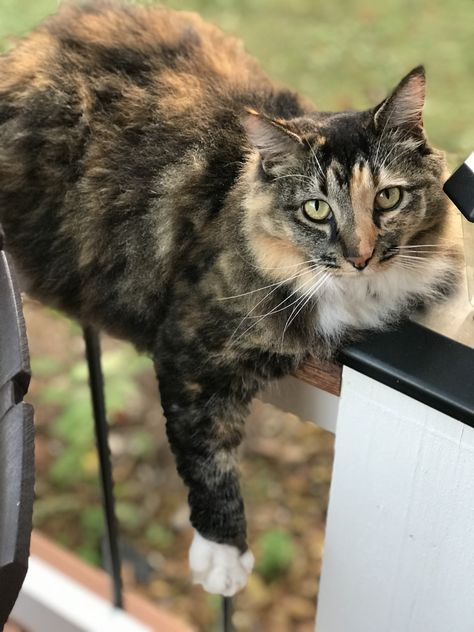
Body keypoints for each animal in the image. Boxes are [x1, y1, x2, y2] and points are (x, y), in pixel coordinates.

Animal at [0, 0, 460, 596]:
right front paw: (223, 558)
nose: (360, 255)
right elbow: (207, 452)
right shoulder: (193, 347)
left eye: (388, 198)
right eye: (316, 209)